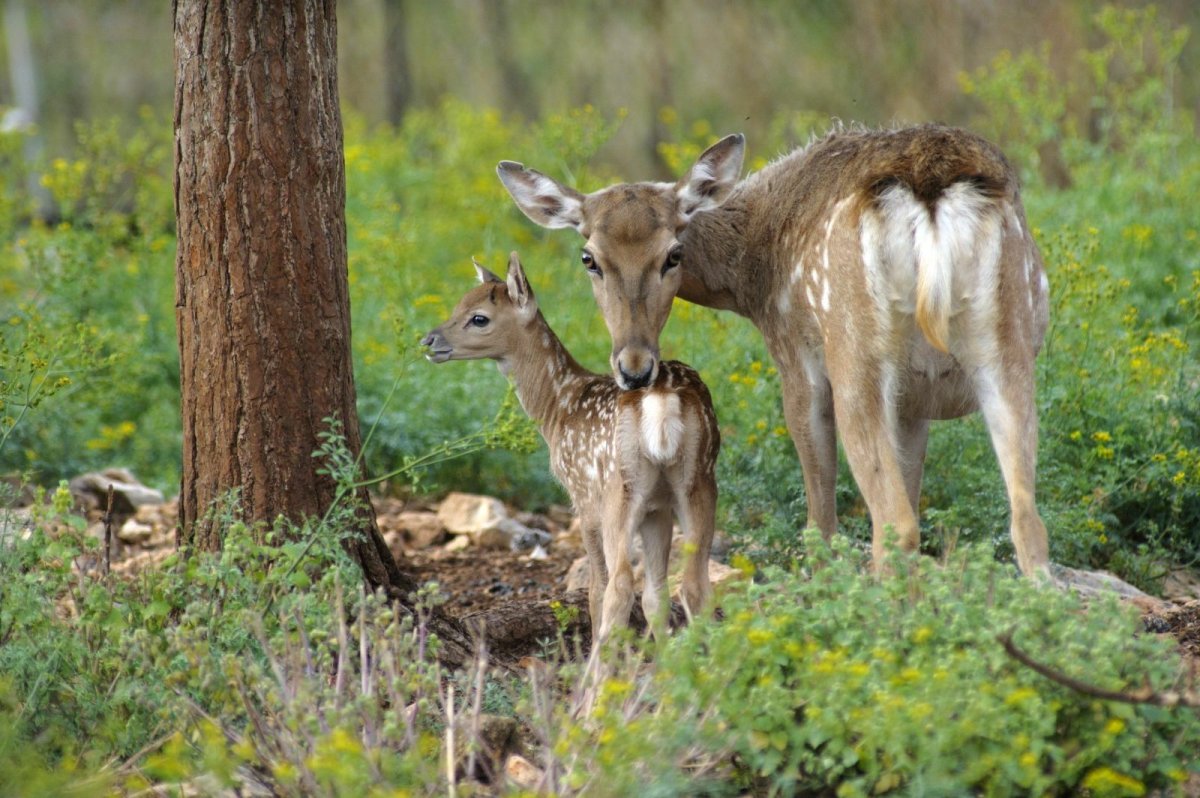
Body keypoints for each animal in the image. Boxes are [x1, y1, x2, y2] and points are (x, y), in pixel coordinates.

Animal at [424, 252, 720, 638]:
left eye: (479, 318)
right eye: (458, 304)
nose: (429, 340)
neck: (558, 408)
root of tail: (663, 401)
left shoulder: (581, 496)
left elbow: (596, 590)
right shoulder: (657, 507)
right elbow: (656, 597)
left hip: (617, 489)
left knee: (618, 587)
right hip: (699, 479)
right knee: (694, 585)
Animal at [496, 123, 1051, 573]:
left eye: (673, 253)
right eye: (589, 257)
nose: (634, 368)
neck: (752, 275)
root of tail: (931, 195)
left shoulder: (794, 358)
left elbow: (820, 521)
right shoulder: (915, 402)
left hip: (854, 352)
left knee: (893, 523)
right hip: (1009, 344)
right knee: (1027, 522)